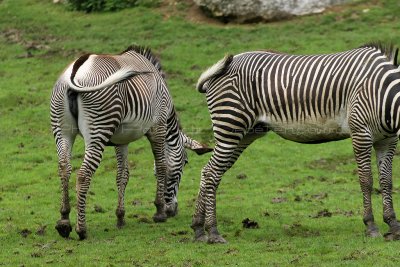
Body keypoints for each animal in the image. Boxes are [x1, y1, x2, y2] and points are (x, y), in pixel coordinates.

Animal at [50, 44, 212, 241]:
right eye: (185, 162)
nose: (173, 210)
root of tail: (78, 69)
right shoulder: (158, 127)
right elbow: (162, 166)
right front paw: (159, 212)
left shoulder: (121, 140)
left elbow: (122, 175)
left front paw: (120, 217)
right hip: (98, 129)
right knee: (83, 174)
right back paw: (82, 229)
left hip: (62, 130)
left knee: (64, 168)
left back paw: (64, 221)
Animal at [190, 42, 400, 245]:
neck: (383, 93)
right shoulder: (360, 133)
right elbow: (366, 180)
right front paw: (371, 226)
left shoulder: (387, 139)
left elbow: (386, 180)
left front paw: (393, 224)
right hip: (230, 126)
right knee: (211, 173)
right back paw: (213, 232)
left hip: (246, 134)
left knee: (209, 172)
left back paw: (199, 229)